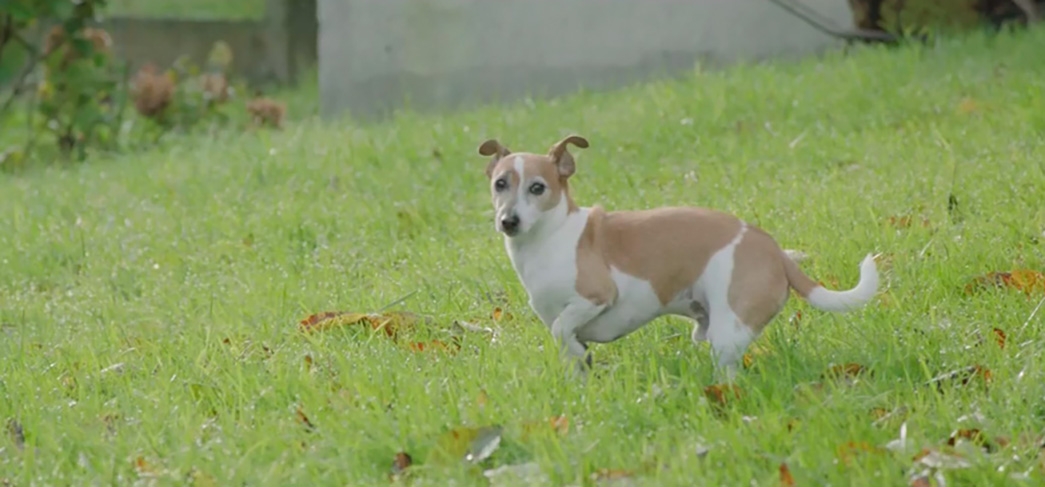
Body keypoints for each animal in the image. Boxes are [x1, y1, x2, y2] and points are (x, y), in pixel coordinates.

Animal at [478, 133, 877, 380]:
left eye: (537, 188)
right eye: (500, 184)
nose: (508, 220)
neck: (552, 236)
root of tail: (775, 251)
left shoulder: (597, 297)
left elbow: (564, 327)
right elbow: (569, 348)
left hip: (728, 330)